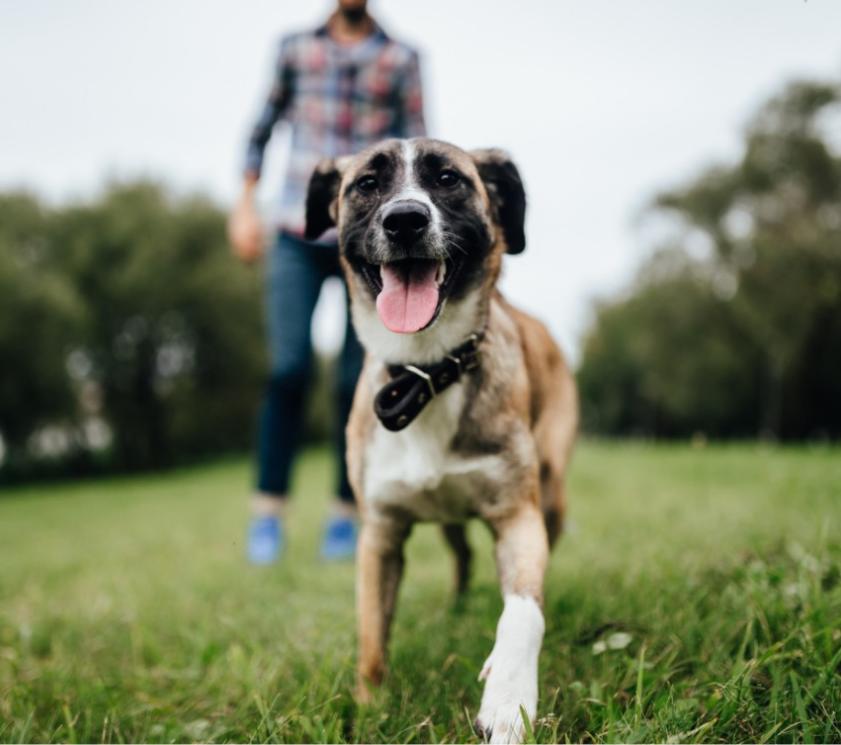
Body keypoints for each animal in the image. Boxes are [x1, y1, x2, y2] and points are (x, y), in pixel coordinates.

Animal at [304, 137, 576, 740]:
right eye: (367, 184)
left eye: (448, 179)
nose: (405, 219)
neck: (425, 372)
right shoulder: (380, 535)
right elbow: (372, 638)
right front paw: (370, 707)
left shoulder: (517, 517)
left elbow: (523, 611)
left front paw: (509, 702)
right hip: (449, 520)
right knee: (463, 555)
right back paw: (457, 607)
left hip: (551, 494)